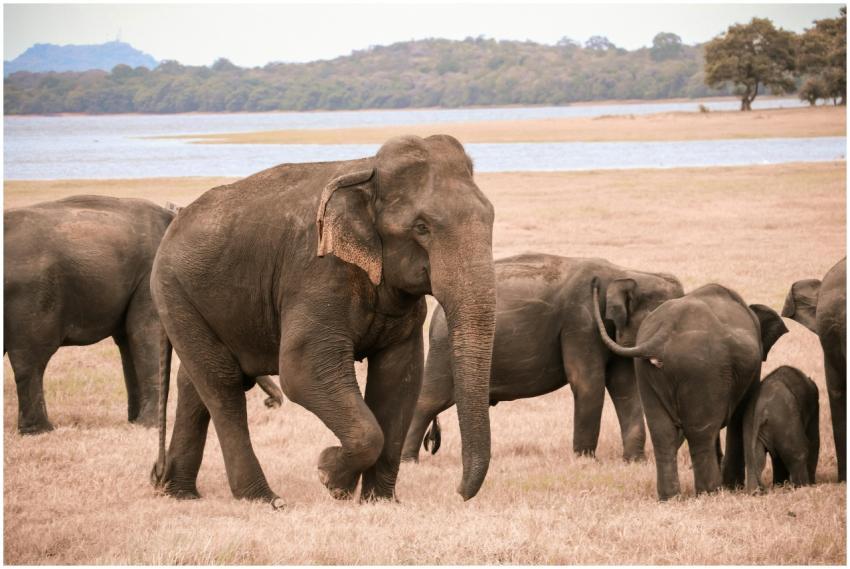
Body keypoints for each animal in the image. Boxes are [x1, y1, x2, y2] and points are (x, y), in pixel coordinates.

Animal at [149, 135, 497, 508]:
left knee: (193, 383)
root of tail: (174, 220)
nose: (459, 493)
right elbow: (302, 372)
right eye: (422, 227)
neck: (368, 171)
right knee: (221, 384)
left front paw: (379, 501)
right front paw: (330, 476)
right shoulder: (316, 273)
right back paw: (265, 500)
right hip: (173, 292)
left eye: (490, 218)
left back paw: (181, 493)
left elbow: (400, 377)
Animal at [401, 254, 684, 463]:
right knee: (429, 400)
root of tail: (436, 315)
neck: (628, 273)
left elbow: (625, 388)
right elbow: (587, 383)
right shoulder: (580, 322)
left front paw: (634, 461)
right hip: (444, 350)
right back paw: (408, 461)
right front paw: (585, 461)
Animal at [593, 282, 788, 500]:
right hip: (701, 369)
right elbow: (741, 415)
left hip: (646, 370)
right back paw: (710, 492)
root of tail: (665, 332)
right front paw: (732, 487)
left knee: (662, 432)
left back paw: (670, 497)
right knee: (701, 432)